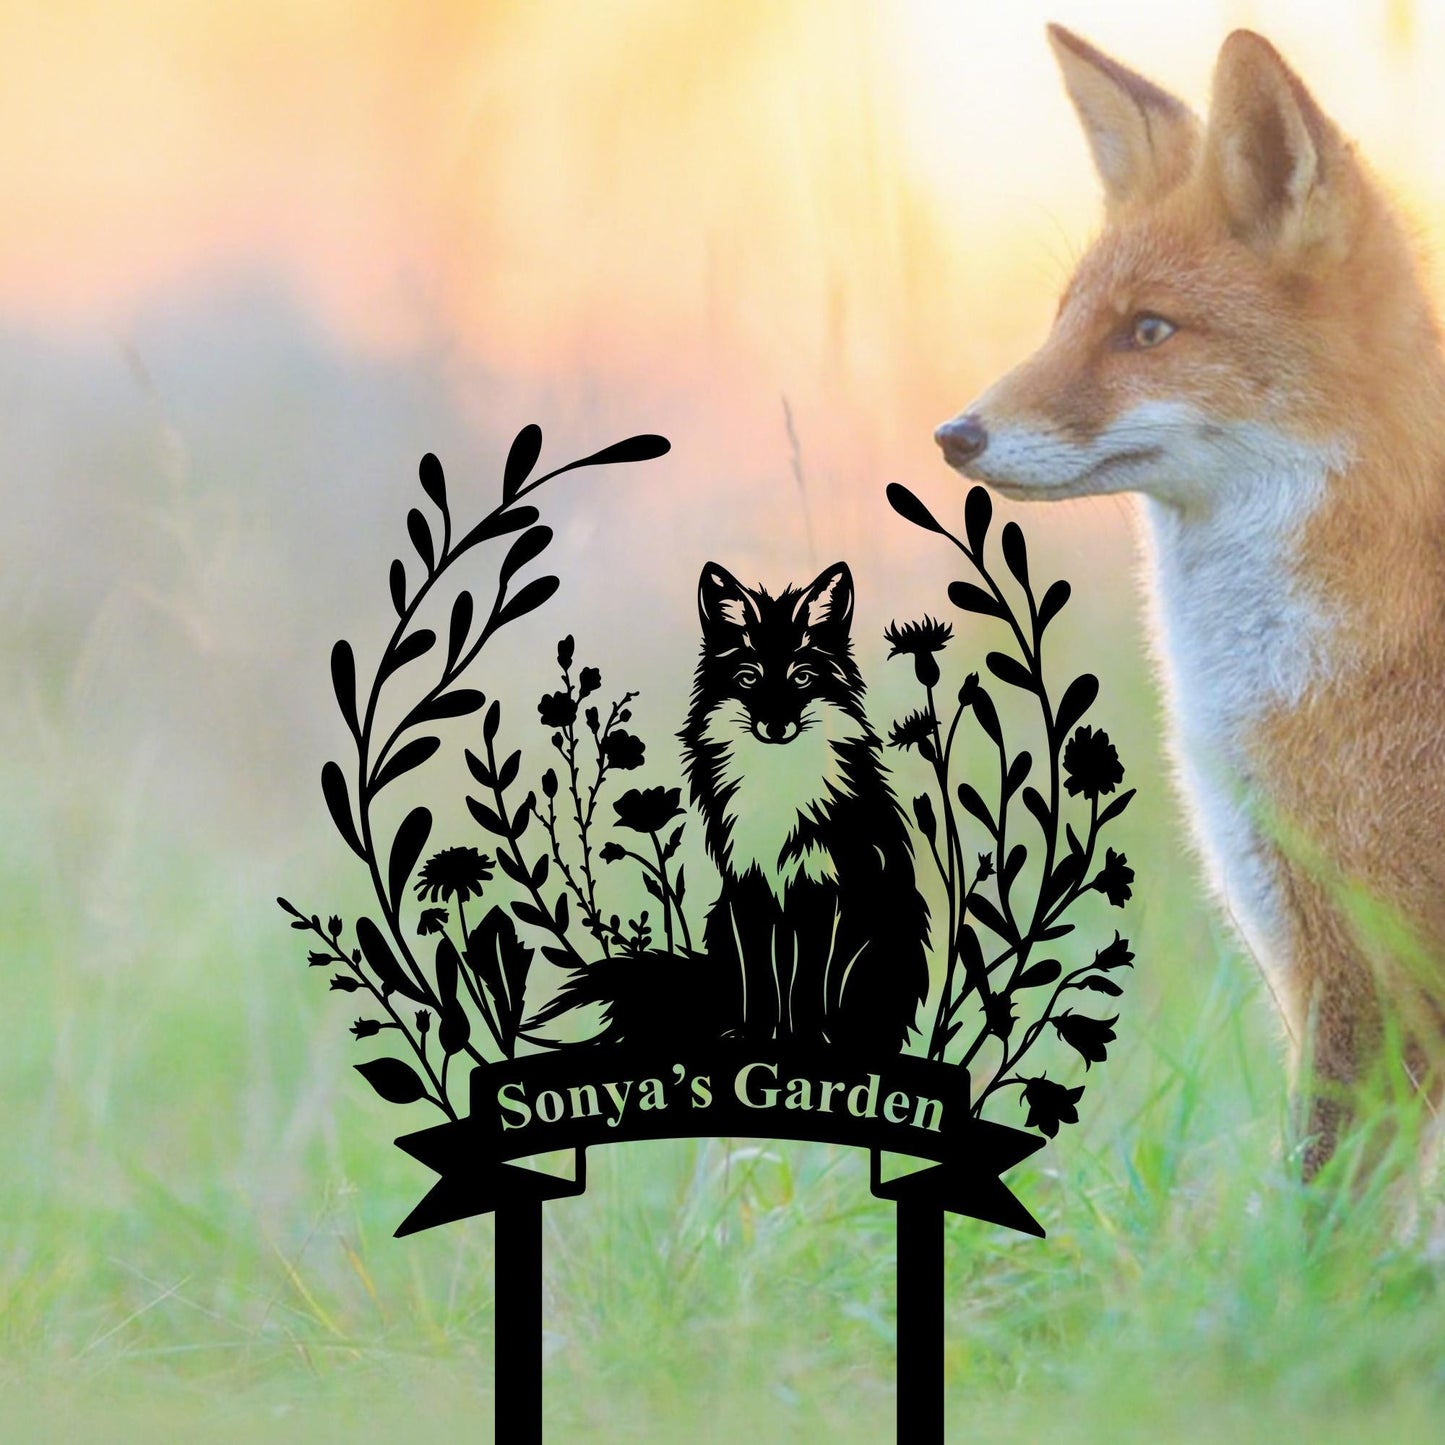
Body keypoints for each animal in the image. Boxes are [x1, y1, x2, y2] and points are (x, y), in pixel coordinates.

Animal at [679, 561, 930, 1053]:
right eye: (749, 677)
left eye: (802, 677)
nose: (776, 728)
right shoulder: (747, 888)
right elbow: (760, 976)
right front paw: (754, 1035)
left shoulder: (823, 889)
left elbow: (808, 981)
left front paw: (812, 1037)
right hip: (719, 920)